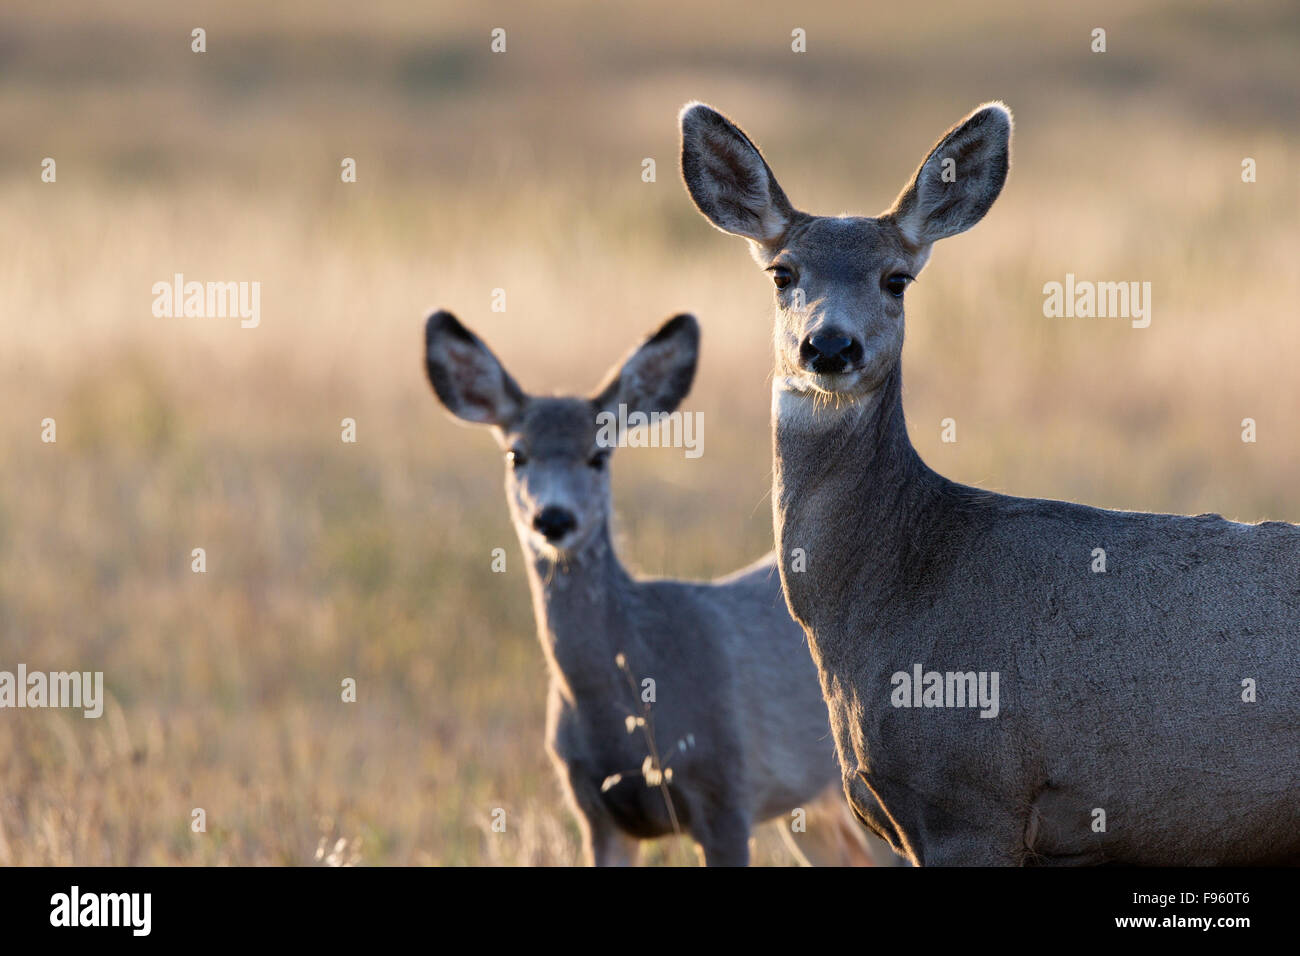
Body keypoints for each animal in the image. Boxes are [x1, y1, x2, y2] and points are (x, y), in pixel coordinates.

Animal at [426, 308, 894, 868]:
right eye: (517, 455)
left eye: (598, 456)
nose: (554, 519)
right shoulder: (596, 812)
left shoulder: (726, 790)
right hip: (814, 814)